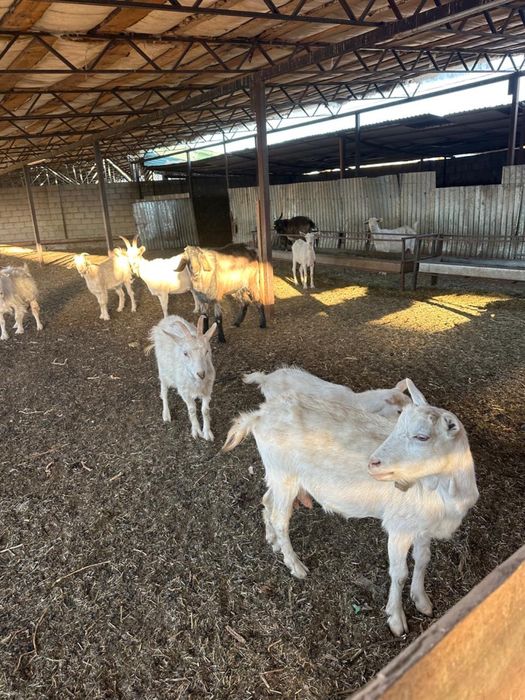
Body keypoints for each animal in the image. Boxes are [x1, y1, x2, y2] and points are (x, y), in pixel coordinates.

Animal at [223, 379, 478, 636]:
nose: (373, 462)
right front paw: (396, 619)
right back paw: (295, 565)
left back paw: (273, 541)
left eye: (422, 437)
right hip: (285, 473)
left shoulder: (422, 527)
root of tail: (258, 415)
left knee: (267, 500)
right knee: (280, 519)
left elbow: (423, 560)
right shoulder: (399, 527)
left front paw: (422, 601)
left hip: (277, 474)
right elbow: (399, 574)